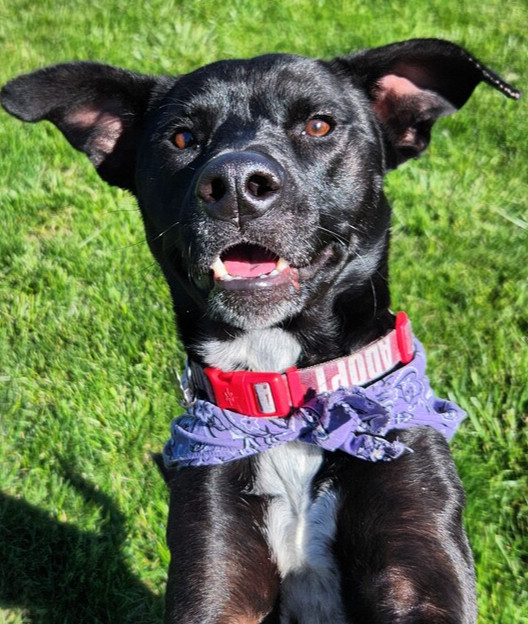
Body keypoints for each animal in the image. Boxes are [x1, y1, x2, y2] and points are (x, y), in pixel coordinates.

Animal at [1, 40, 520, 624]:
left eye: (318, 125)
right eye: (182, 138)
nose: (234, 186)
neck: (287, 399)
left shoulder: (421, 560)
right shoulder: (213, 570)